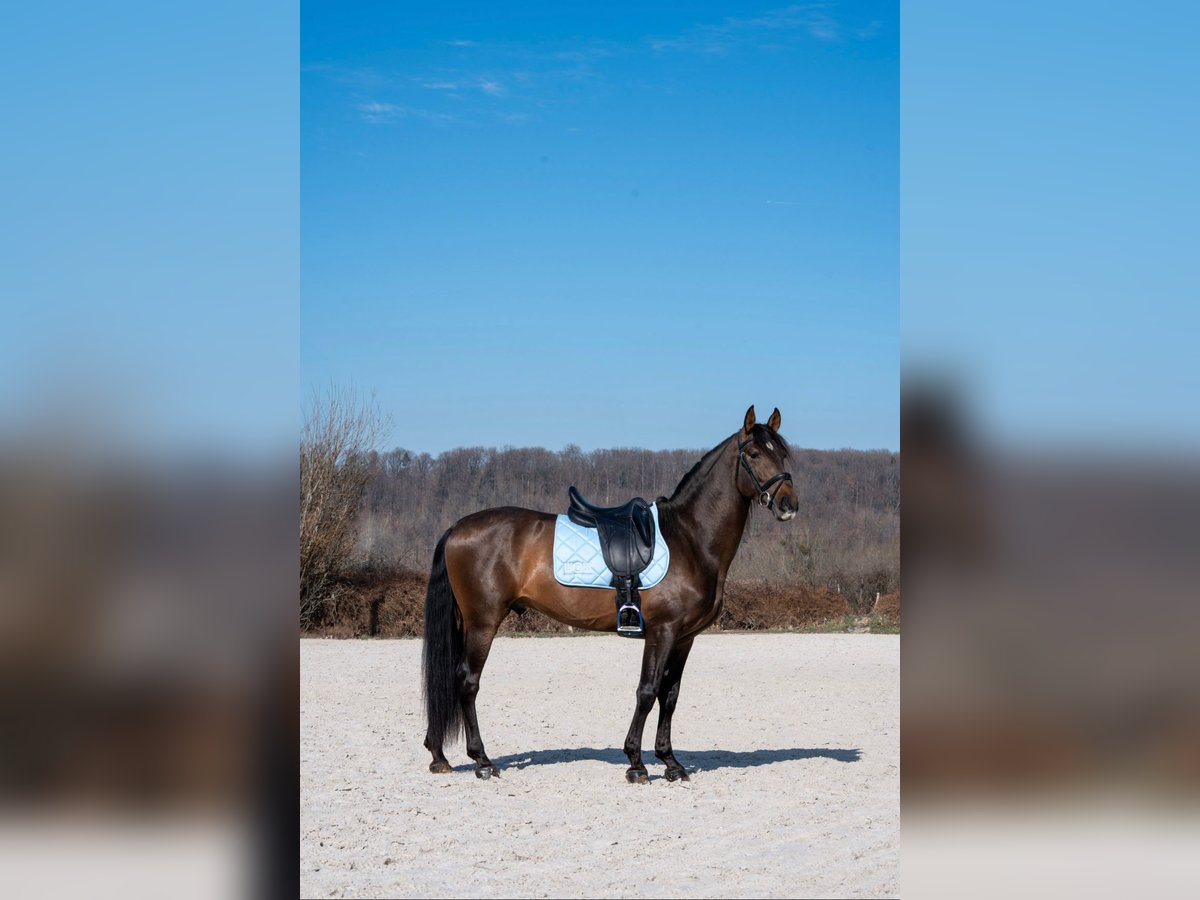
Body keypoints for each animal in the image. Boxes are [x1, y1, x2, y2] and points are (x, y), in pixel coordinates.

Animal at [422, 405, 798, 782]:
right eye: (753, 454)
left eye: (782, 453)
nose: (788, 504)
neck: (690, 538)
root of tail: (456, 528)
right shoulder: (662, 631)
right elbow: (647, 691)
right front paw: (636, 763)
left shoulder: (684, 637)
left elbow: (670, 695)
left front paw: (671, 762)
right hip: (483, 622)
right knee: (467, 682)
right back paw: (482, 760)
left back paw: (440, 756)